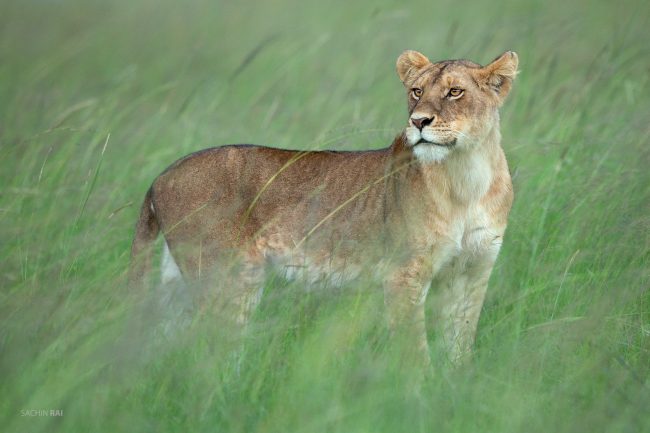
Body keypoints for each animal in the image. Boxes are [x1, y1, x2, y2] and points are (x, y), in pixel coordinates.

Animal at [130, 50, 518, 365]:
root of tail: (162, 175)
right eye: (416, 92)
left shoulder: (474, 270)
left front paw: (455, 387)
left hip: (183, 280)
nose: (418, 121)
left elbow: (461, 341)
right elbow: (414, 352)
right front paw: (418, 397)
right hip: (225, 276)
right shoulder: (404, 273)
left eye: (455, 92)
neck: (466, 176)